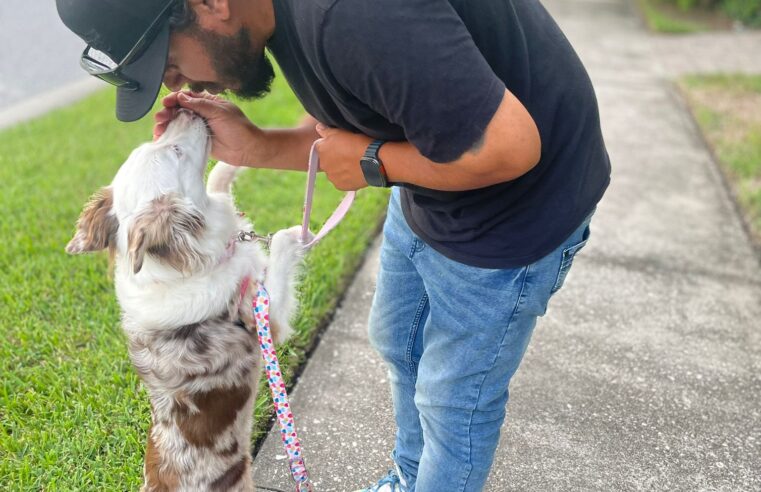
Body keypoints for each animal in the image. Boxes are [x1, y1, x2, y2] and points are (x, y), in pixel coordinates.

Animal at [65, 109, 308, 490]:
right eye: (176, 151)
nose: (184, 110)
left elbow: (217, 183)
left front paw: (233, 160)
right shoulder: (265, 315)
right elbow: (281, 255)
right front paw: (295, 233)